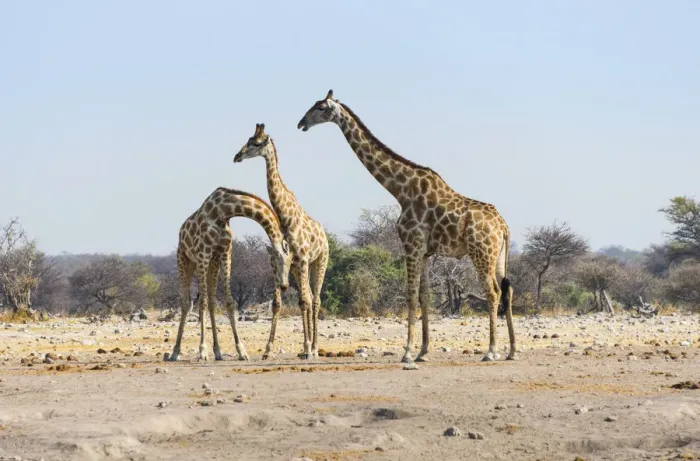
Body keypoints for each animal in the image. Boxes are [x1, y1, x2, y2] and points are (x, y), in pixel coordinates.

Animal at [168, 187, 292, 362]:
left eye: (291, 261)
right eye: (277, 260)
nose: (284, 285)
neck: (222, 212)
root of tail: (181, 230)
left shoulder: (225, 252)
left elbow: (229, 302)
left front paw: (241, 351)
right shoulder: (203, 253)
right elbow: (202, 303)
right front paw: (202, 351)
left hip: (212, 264)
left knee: (212, 302)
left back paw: (218, 352)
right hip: (185, 259)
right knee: (186, 302)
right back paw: (175, 352)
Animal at [234, 123, 329, 359]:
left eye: (256, 143)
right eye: (248, 139)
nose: (237, 156)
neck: (285, 218)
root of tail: (324, 235)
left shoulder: (302, 259)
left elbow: (303, 301)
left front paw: (307, 347)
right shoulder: (279, 261)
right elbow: (277, 304)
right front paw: (267, 350)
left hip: (319, 261)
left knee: (315, 299)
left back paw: (314, 348)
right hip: (297, 268)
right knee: (310, 296)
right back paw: (308, 348)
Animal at [297, 90, 516, 363]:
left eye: (320, 107)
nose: (301, 123)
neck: (400, 190)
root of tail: (503, 226)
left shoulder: (411, 245)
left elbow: (411, 295)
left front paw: (408, 352)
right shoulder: (424, 251)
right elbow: (424, 296)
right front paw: (423, 351)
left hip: (481, 253)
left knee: (493, 293)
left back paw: (491, 351)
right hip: (498, 256)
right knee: (508, 290)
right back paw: (512, 351)